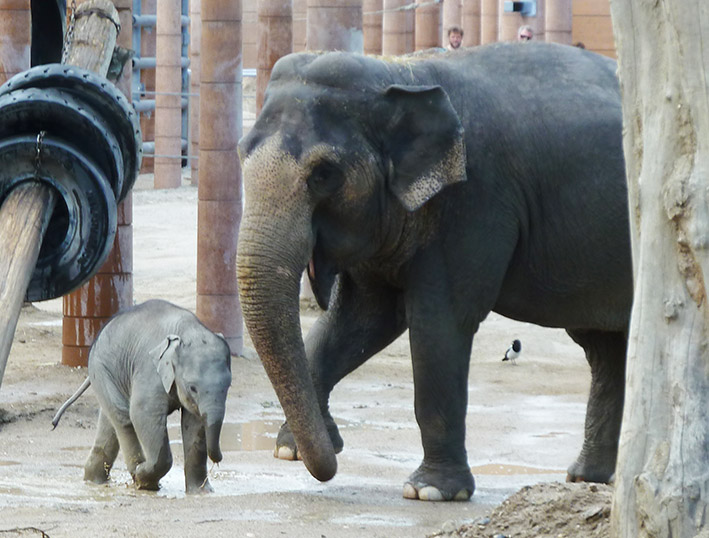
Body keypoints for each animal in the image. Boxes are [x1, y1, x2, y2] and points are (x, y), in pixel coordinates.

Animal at [53, 300, 230, 492]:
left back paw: (96, 480)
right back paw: (140, 477)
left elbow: (194, 423)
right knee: (124, 419)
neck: (187, 331)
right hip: (102, 369)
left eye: (228, 386)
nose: (218, 459)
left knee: (110, 422)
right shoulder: (150, 371)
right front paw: (145, 477)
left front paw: (202, 492)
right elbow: (143, 413)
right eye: (193, 388)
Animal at [238, 40, 632, 498]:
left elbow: (439, 323)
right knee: (605, 348)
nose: (332, 462)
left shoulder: (474, 199)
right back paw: (587, 478)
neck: (400, 73)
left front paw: (432, 492)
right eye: (241, 152)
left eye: (324, 173)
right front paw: (291, 449)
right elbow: (361, 319)